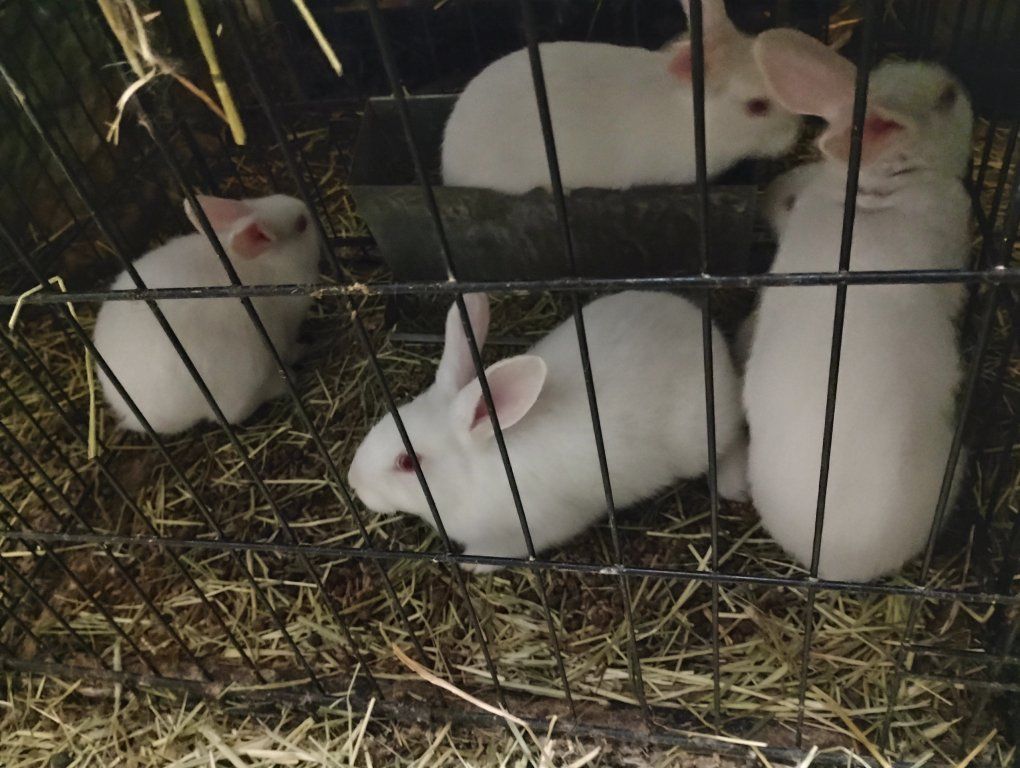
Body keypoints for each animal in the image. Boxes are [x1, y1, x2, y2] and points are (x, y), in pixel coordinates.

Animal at [93, 194, 319, 434]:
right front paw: (301, 350)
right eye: (301, 224)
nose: (305, 206)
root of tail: (132, 412)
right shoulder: (282, 333)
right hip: (243, 374)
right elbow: (288, 349)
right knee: (232, 413)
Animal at [348, 291, 749, 570]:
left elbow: (507, 550)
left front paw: (474, 564)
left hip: (700, 436)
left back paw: (733, 485)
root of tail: (709, 336)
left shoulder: (535, 528)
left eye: (408, 462)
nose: (353, 481)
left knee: (730, 441)